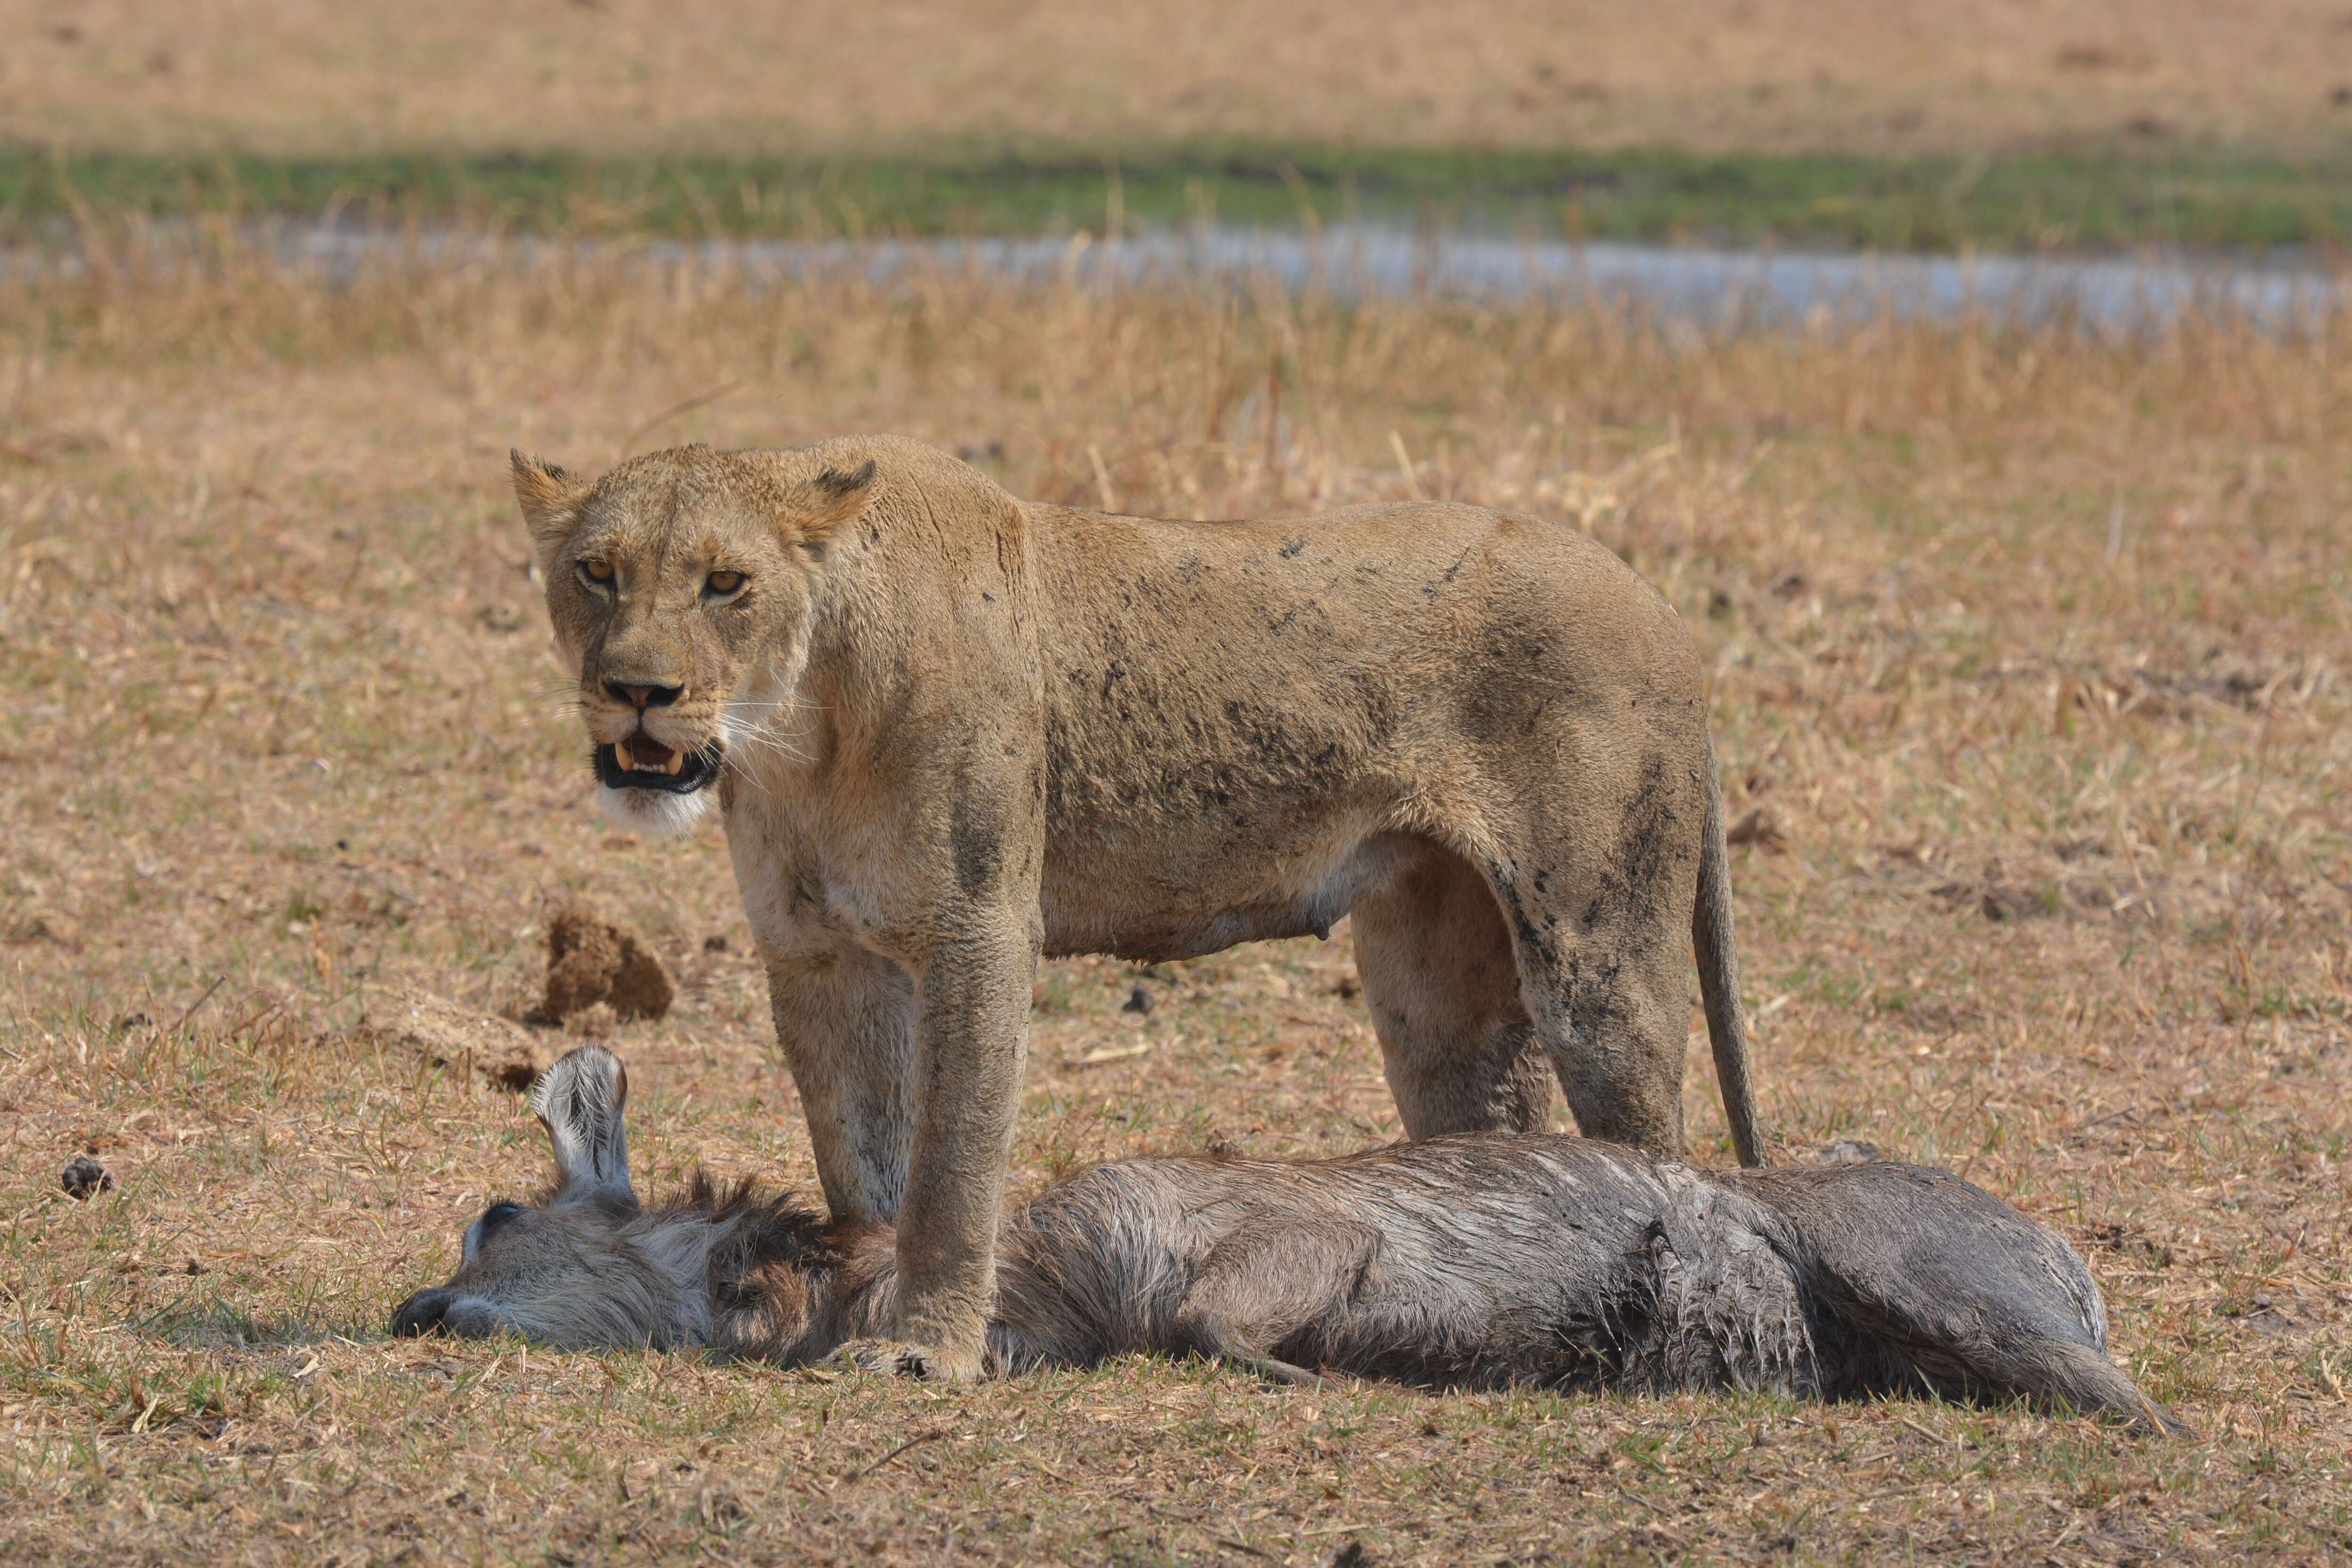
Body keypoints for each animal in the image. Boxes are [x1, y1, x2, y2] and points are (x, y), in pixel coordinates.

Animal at [515, 435, 1768, 1382]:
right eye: (599, 573)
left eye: (725, 583)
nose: (638, 692)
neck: (798, 729)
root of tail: (1656, 603)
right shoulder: (813, 953)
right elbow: (860, 1156)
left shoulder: (980, 931)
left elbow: (948, 1167)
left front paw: (924, 1349)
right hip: (1432, 986)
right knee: (1486, 1114)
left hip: (1598, 954)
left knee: (1649, 1134)